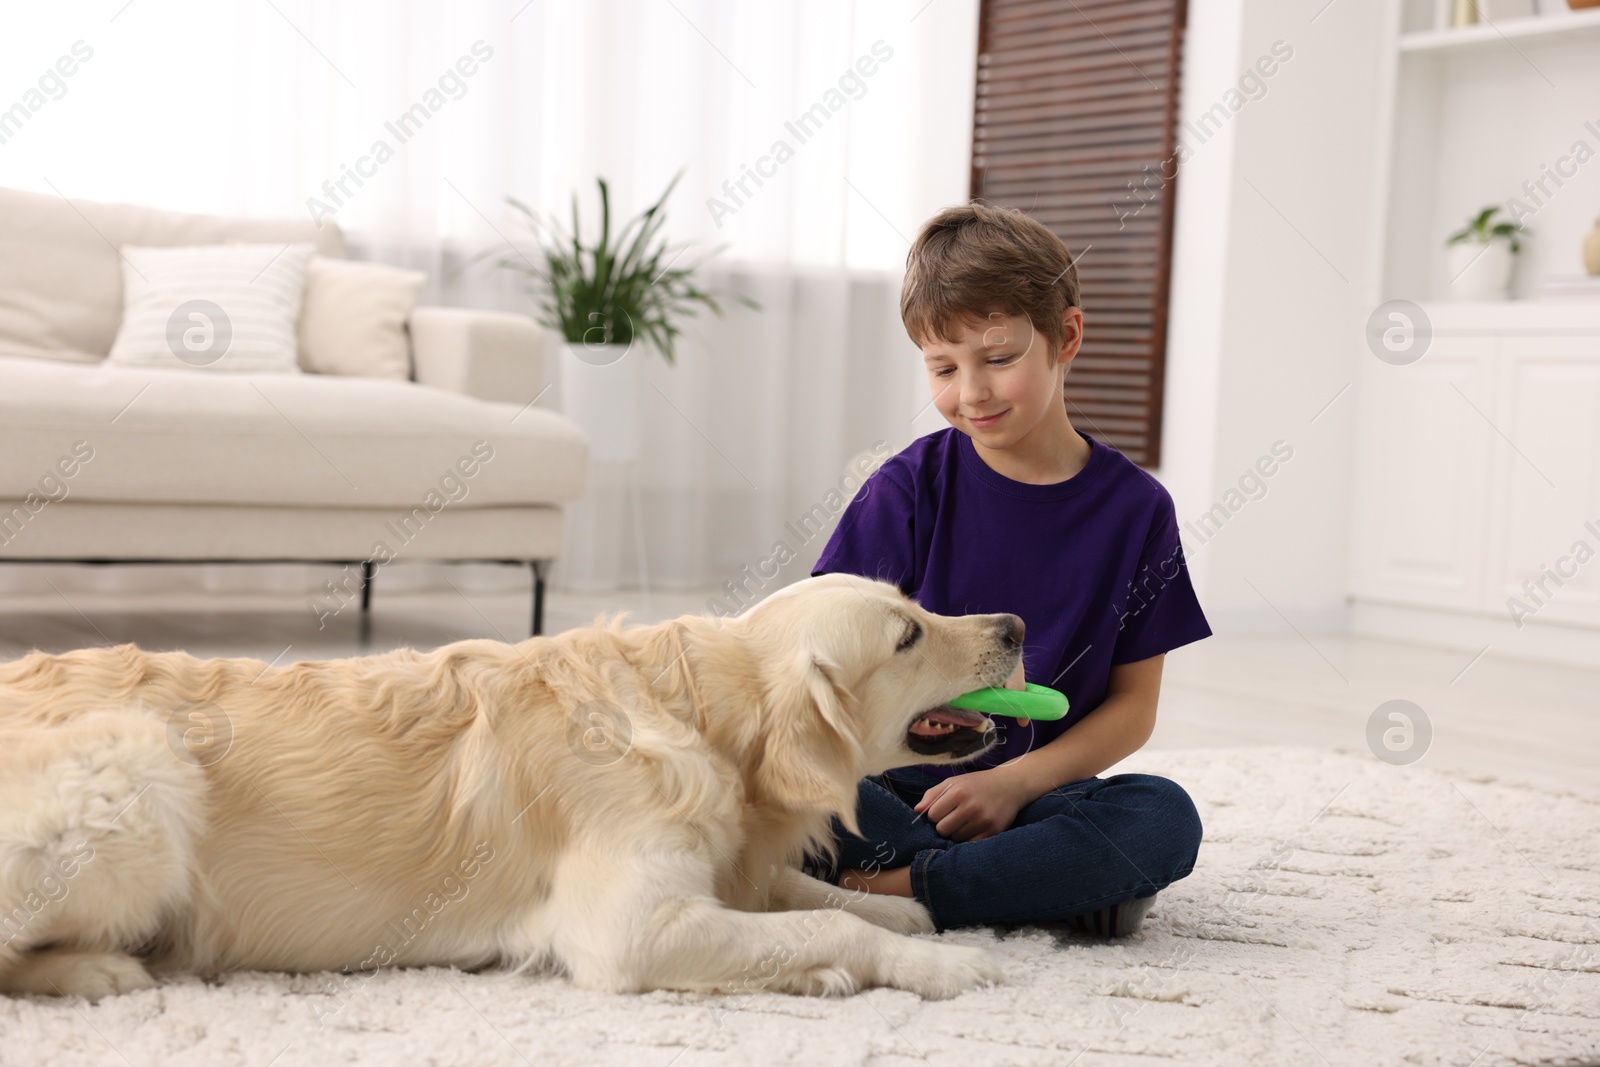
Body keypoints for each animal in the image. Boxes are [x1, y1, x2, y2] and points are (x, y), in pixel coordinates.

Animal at [3, 575, 1024, 1004]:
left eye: (917, 604)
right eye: (906, 636)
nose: (1014, 625)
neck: (697, 710)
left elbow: (803, 892)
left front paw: (900, 914)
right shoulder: (627, 929)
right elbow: (821, 922)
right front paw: (942, 963)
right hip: (142, 765)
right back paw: (98, 971)